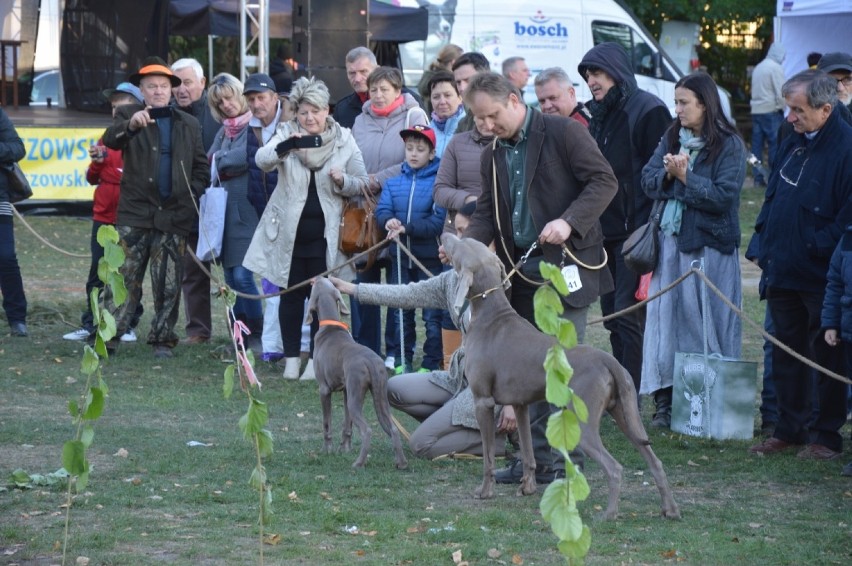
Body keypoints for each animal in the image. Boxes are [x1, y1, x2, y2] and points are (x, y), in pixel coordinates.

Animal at [306, 278, 410, 470]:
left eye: (316, 284)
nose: (318, 278)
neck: (330, 325)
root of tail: (371, 362)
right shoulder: (347, 390)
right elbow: (347, 424)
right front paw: (344, 449)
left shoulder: (324, 389)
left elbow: (326, 423)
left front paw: (327, 450)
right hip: (379, 394)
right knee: (392, 428)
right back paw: (401, 462)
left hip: (357, 396)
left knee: (367, 430)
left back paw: (359, 463)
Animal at [442, 233, 684, 520]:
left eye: (459, 244)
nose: (444, 235)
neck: (491, 315)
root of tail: (609, 360)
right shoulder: (520, 405)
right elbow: (528, 451)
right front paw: (527, 488)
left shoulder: (483, 401)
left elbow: (489, 456)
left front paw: (485, 491)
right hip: (626, 414)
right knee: (654, 460)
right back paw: (670, 509)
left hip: (584, 420)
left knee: (614, 467)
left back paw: (608, 514)